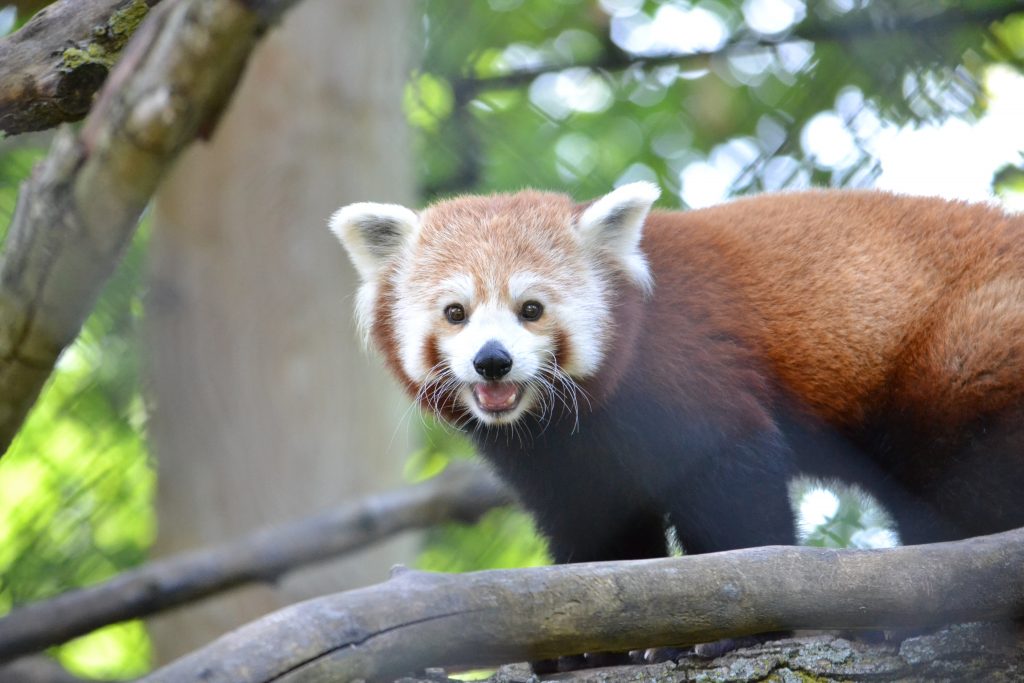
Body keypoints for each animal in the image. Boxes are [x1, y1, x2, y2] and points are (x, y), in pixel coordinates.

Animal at [331, 184, 1024, 565]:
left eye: (531, 310)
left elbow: (736, 486)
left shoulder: (690, 366)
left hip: (964, 351)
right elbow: (598, 531)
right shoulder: (561, 458)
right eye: (456, 313)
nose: (493, 360)